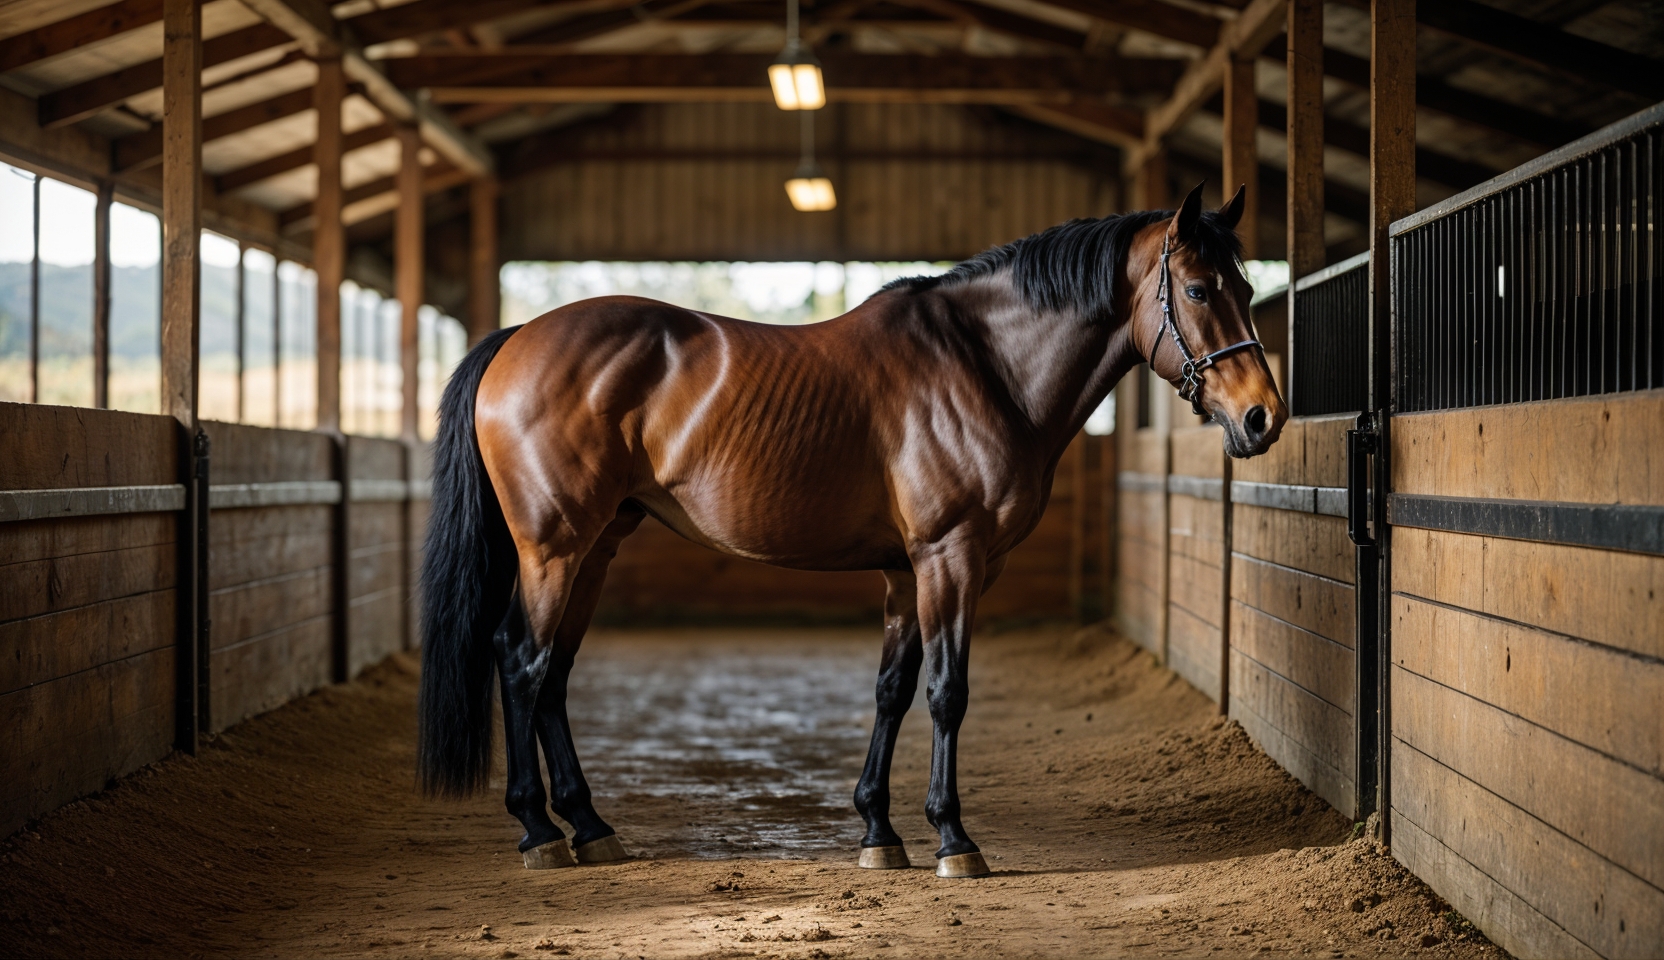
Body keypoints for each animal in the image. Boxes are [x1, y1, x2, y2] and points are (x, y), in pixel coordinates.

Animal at [416, 181, 1287, 879]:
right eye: (1200, 290)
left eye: (1248, 284)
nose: (1262, 418)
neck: (985, 367)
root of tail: (515, 339)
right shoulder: (951, 559)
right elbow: (946, 692)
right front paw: (953, 840)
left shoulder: (907, 571)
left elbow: (891, 691)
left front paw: (878, 831)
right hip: (554, 549)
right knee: (522, 661)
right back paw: (538, 831)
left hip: (596, 547)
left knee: (555, 674)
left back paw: (589, 825)